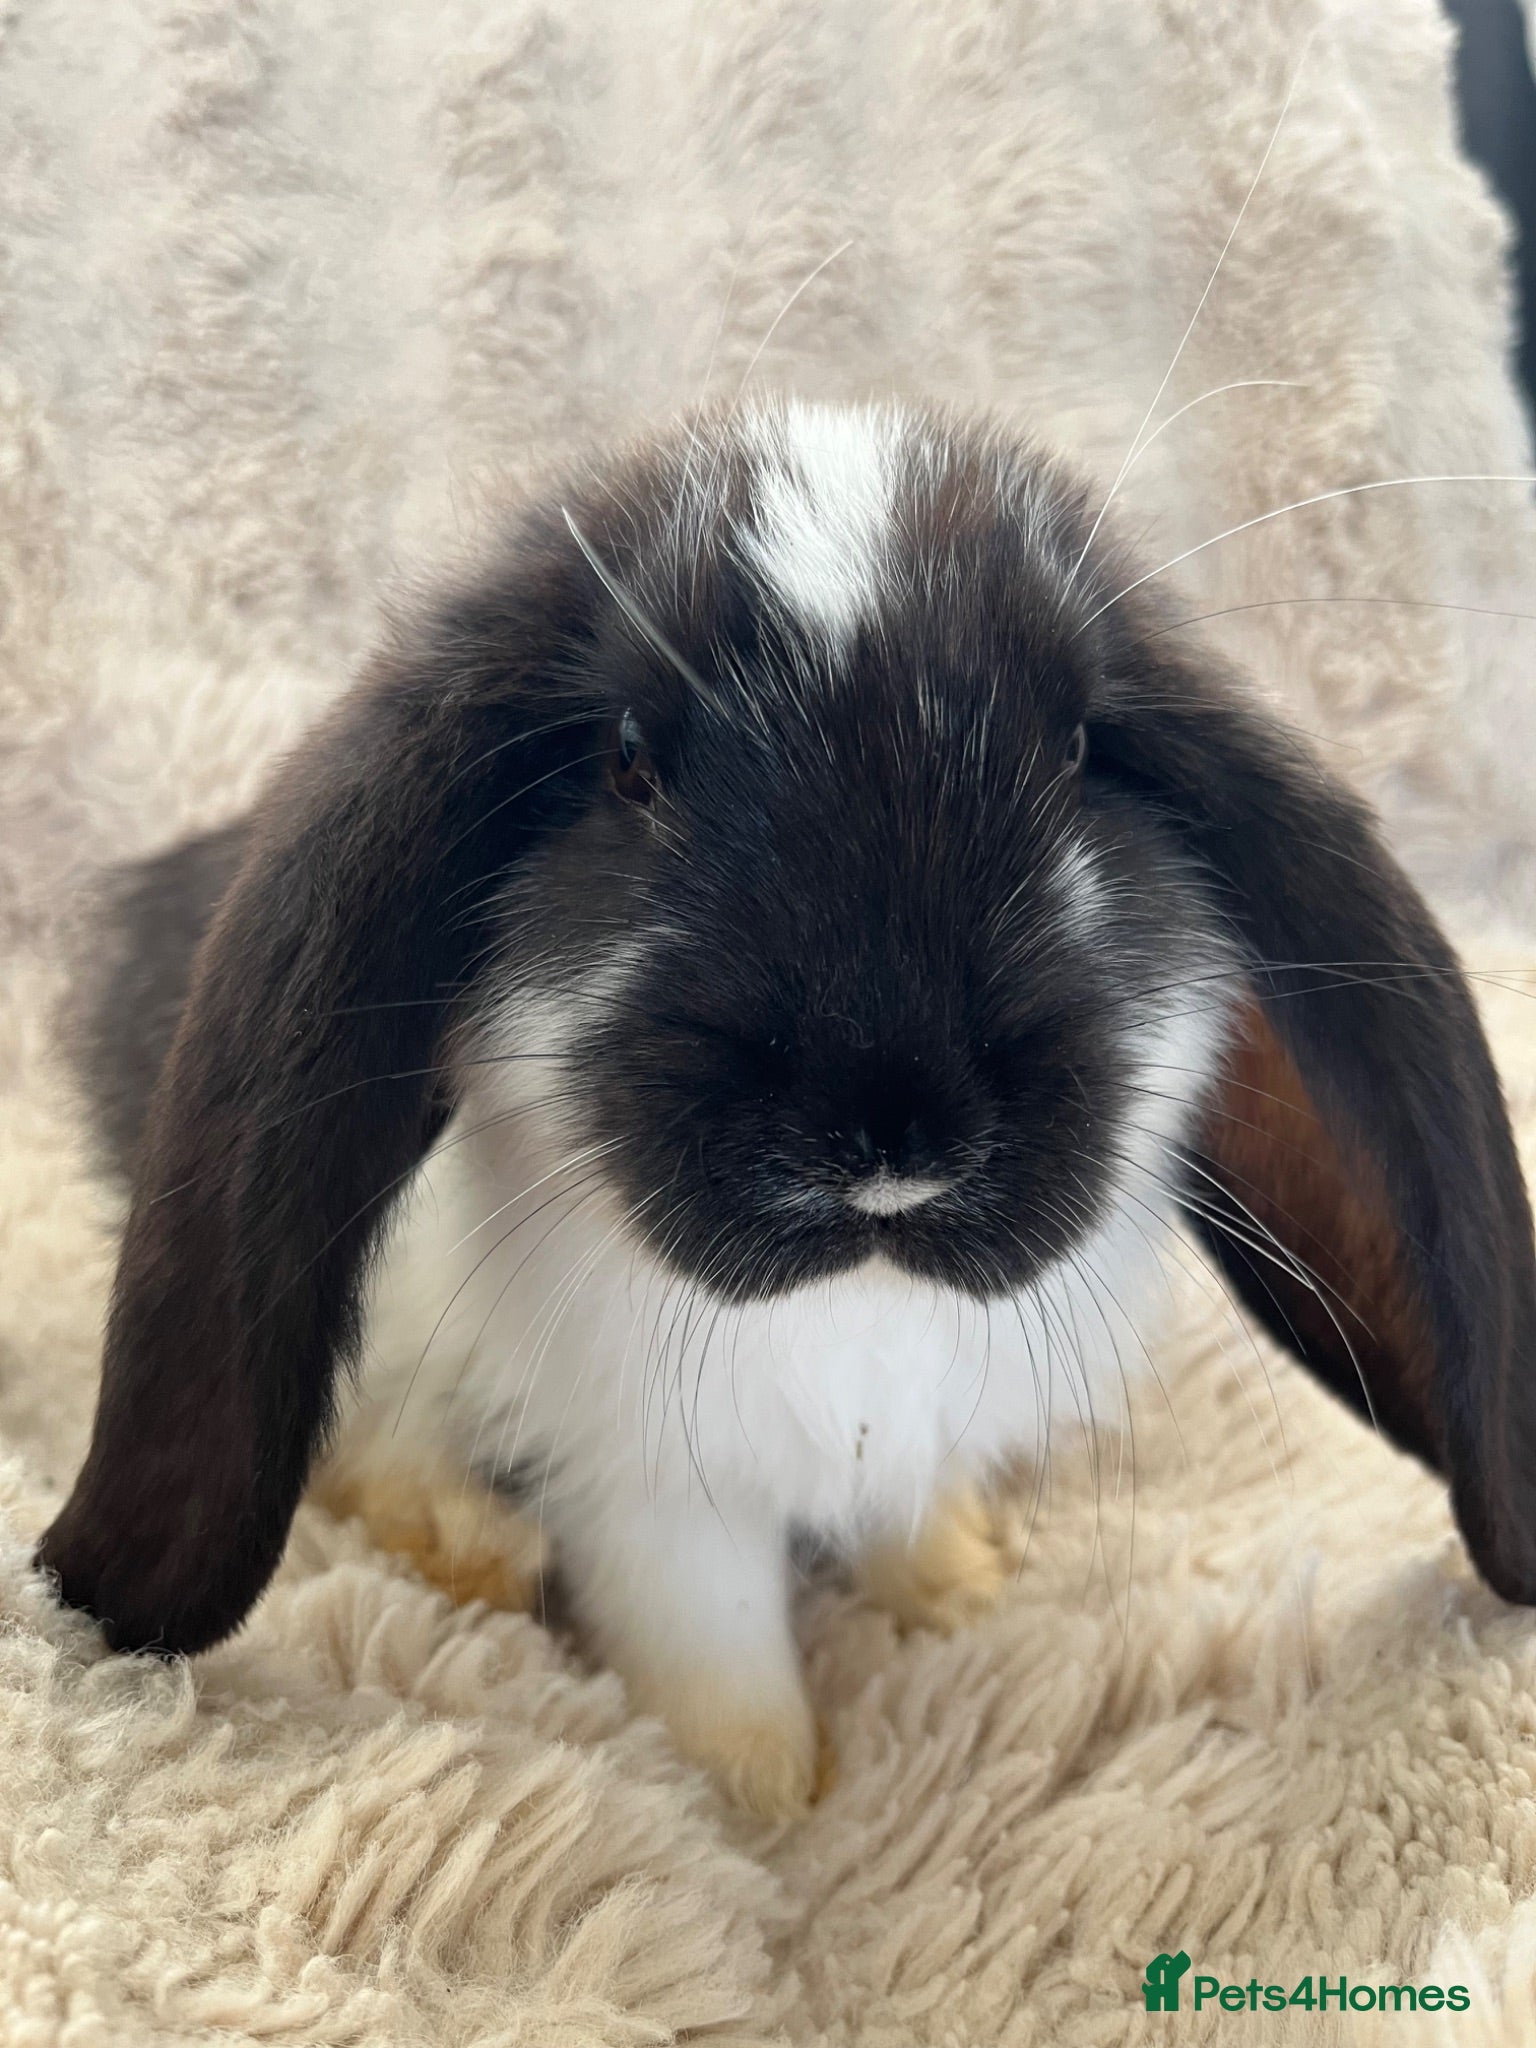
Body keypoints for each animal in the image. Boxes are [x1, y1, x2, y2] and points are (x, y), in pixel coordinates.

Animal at [39, 397, 1536, 1817]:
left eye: (1076, 748)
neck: (859, 1300)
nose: (891, 1138)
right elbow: (710, 1634)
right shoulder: (652, 1485)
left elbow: (900, 1513)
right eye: (628, 761)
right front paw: (761, 1796)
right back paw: (474, 1552)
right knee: (362, 1446)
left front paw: (956, 1584)